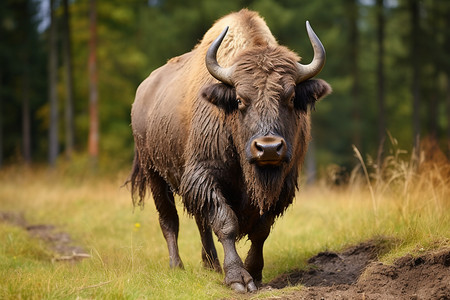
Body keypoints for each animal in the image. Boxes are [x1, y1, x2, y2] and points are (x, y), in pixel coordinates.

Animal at [128, 9, 332, 292]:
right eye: (239, 100)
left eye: (290, 97)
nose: (269, 148)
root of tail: (142, 93)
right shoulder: (203, 176)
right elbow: (226, 223)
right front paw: (238, 279)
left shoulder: (283, 183)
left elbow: (261, 230)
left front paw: (254, 272)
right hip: (154, 173)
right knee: (169, 220)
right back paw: (177, 266)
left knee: (200, 223)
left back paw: (211, 265)